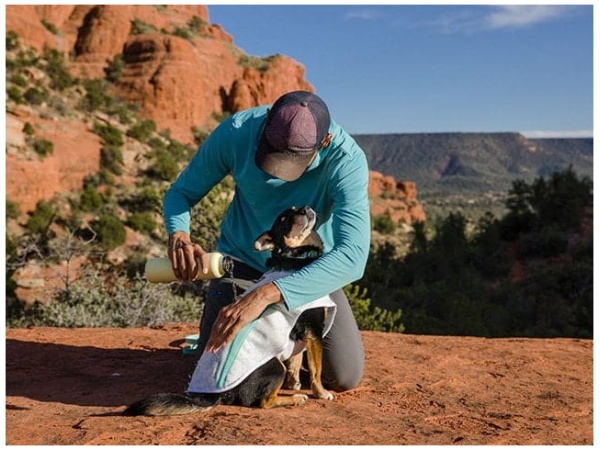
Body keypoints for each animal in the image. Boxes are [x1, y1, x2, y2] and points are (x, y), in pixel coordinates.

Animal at [124, 206, 336, 416]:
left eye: (295, 208)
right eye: (284, 219)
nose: (305, 209)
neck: (294, 256)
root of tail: (218, 394)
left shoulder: (298, 333)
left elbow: (296, 360)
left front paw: (294, 384)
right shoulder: (313, 330)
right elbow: (316, 368)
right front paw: (321, 392)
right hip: (275, 366)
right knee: (263, 402)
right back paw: (295, 399)